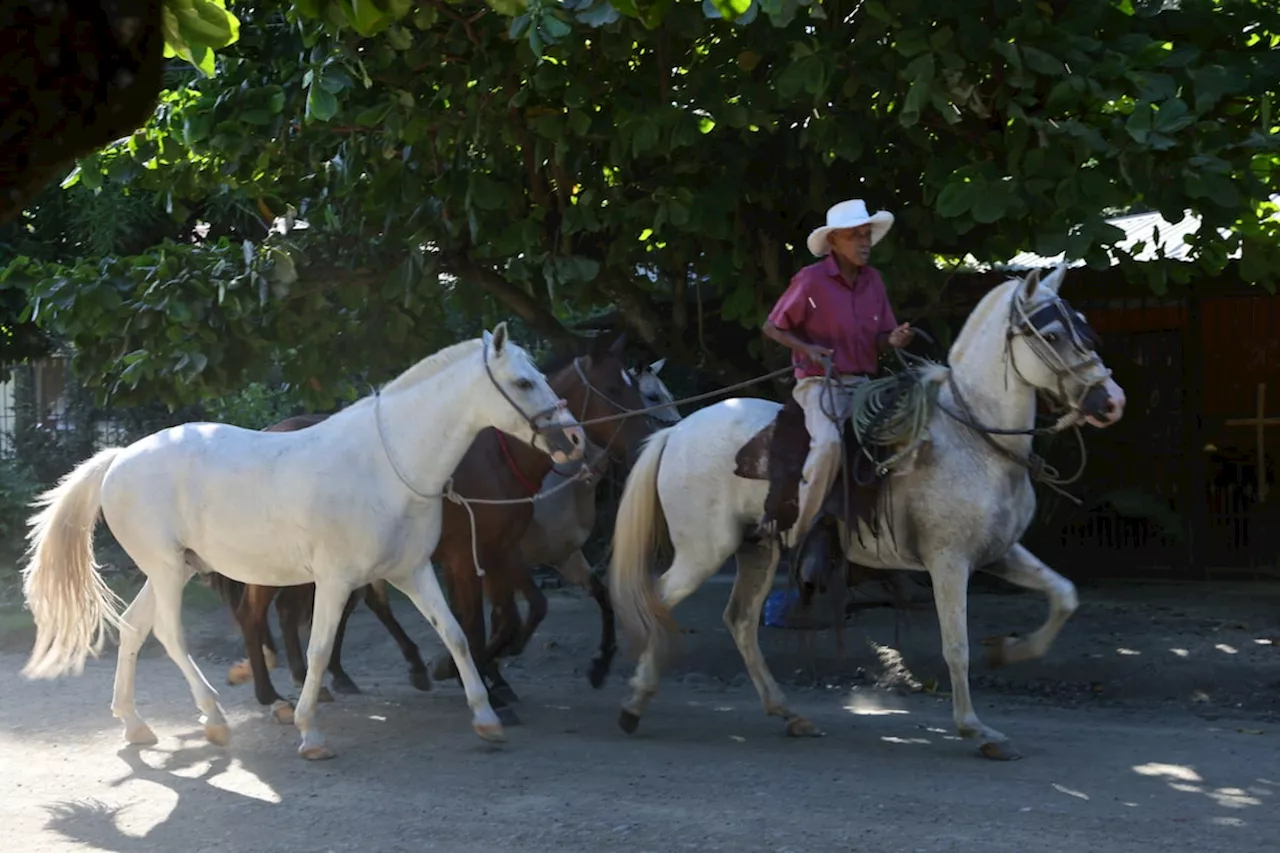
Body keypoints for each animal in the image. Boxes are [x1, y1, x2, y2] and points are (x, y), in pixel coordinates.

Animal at [20, 324, 586, 758]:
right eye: (523, 382)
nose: (575, 439)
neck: (386, 465)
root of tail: (119, 458)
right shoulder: (336, 581)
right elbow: (318, 649)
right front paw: (310, 732)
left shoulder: (413, 571)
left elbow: (455, 634)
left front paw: (486, 718)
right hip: (164, 569)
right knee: (169, 634)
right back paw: (216, 718)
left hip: (177, 568)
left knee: (136, 628)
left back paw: (138, 725)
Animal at [215, 330, 655, 717]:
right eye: (613, 388)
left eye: (634, 386)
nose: (644, 441)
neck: (494, 460)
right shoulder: (470, 556)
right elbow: (482, 620)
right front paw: (473, 679)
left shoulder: (498, 552)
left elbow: (508, 616)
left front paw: (486, 676)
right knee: (255, 614)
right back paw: (271, 692)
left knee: (298, 612)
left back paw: (320, 679)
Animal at [604, 266, 1126, 758]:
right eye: (1052, 335)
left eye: (1083, 327)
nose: (1112, 402)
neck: (973, 437)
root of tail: (675, 432)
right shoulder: (949, 562)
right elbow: (956, 647)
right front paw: (976, 729)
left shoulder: (999, 553)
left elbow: (1064, 595)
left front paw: (1012, 653)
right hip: (704, 551)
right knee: (658, 602)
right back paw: (632, 704)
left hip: (757, 548)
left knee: (739, 621)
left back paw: (787, 712)